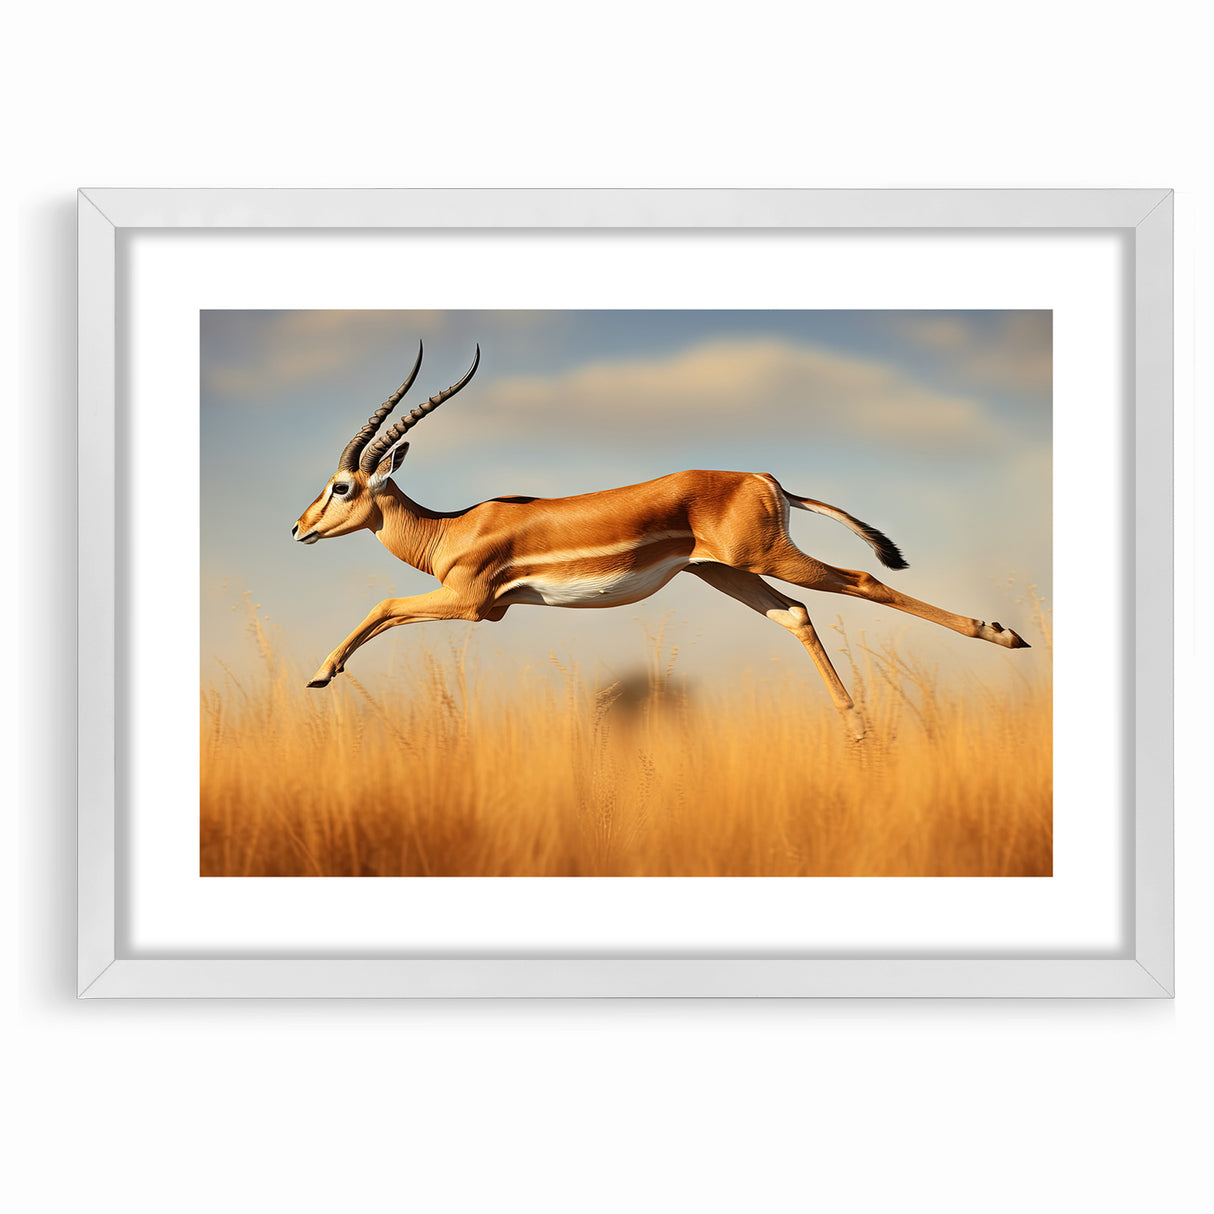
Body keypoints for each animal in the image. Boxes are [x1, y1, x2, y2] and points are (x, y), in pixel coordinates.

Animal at [292, 344, 1029, 740]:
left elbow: (384, 606)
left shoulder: (473, 605)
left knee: (864, 581)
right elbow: (387, 612)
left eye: (341, 486)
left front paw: (320, 673)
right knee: (797, 615)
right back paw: (859, 732)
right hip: (725, 573)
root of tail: (766, 478)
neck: (450, 528)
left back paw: (1004, 635)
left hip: (764, 558)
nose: (298, 528)